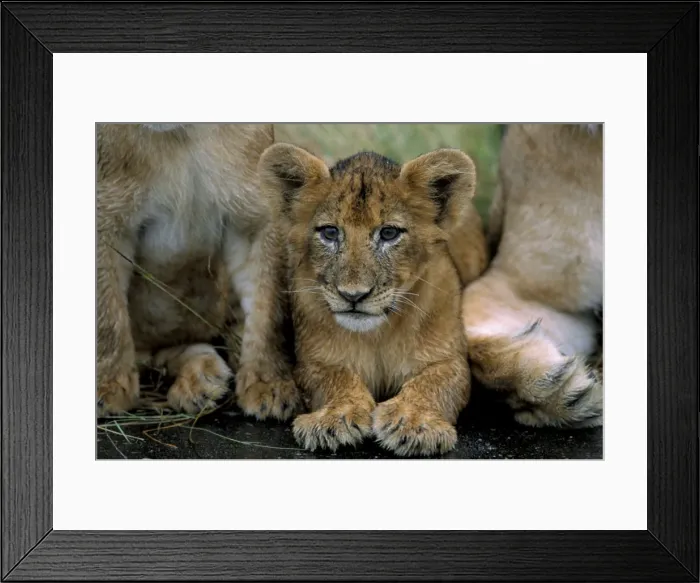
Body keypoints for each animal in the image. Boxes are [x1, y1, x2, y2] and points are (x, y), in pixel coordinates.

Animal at [97, 123, 300, 419]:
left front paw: (268, 384)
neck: (185, 135)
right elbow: (107, 311)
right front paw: (108, 386)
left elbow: (268, 309)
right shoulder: (107, 218)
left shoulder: (254, 218)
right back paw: (201, 382)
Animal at [258, 143, 488, 456]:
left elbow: (433, 383)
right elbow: (335, 379)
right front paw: (335, 417)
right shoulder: (312, 362)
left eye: (389, 233)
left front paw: (413, 421)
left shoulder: (450, 361)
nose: (353, 295)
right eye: (330, 232)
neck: (378, 334)